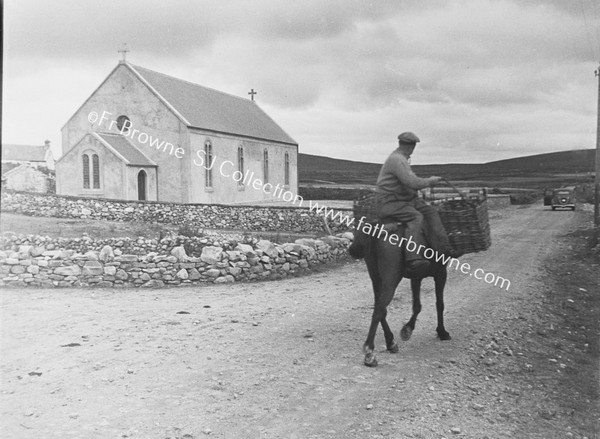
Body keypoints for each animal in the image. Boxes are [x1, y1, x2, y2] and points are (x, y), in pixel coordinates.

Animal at [346, 222, 450, 370]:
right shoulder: (441, 273)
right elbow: (439, 304)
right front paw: (442, 332)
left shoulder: (417, 276)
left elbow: (417, 306)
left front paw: (407, 329)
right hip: (391, 278)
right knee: (379, 310)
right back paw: (369, 353)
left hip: (376, 277)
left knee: (379, 306)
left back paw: (390, 342)